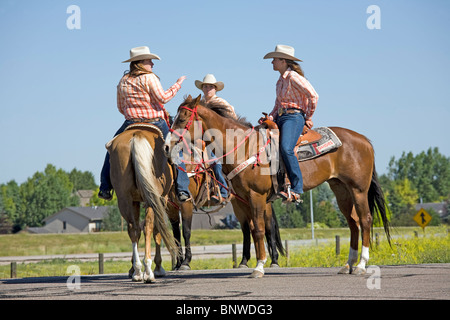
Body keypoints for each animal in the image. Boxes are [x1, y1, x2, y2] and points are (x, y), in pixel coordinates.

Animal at [108, 125, 178, 282]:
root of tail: (137, 135)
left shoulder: (135, 201)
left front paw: (132, 269)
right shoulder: (161, 199)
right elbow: (157, 230)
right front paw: (158, 267)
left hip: (124, 198)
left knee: (133, 229)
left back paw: (138, 271)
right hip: (152, 198)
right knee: (149, 226)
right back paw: (148, 271)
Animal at [164, 95, 390, 278]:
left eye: (182, 118)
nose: (166, 147)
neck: (245, 148)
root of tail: (364, 140)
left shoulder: (256, 196)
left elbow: (258, 230)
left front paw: (259, 267)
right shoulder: (246, 198)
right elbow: (255, 229)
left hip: (358, 189)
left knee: (365, 220)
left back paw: (361, 265)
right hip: (341, 190)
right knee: (353, 223)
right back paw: (348, 265)